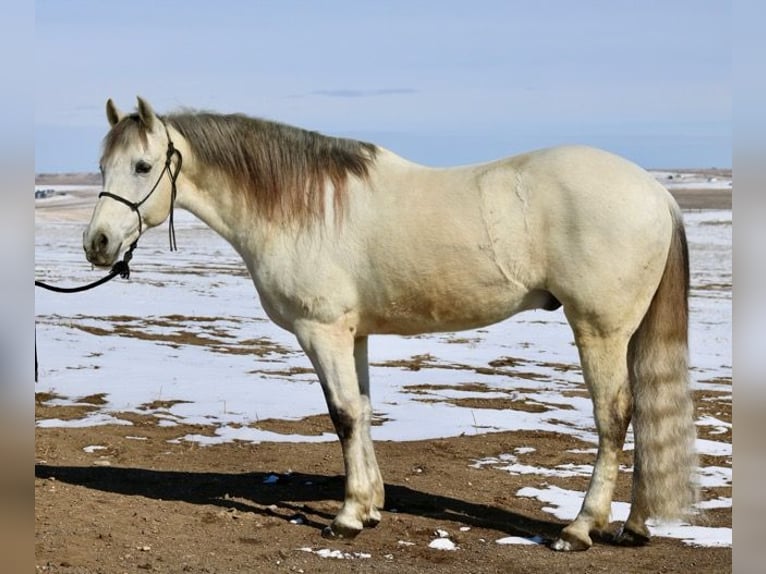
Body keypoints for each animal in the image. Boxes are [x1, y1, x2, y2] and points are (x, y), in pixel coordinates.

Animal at [81, 98, 700, 552]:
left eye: (142, 167)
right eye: (103, 167)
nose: (98, 244)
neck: (301, 208)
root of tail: (656, 191)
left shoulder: (323, 331)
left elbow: (343, 415)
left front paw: (349, 516)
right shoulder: (353, 334)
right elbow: (363, 410)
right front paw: (374, 505)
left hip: (600, 330)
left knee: (614, 416)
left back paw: (580, 527)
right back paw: (634, 526)